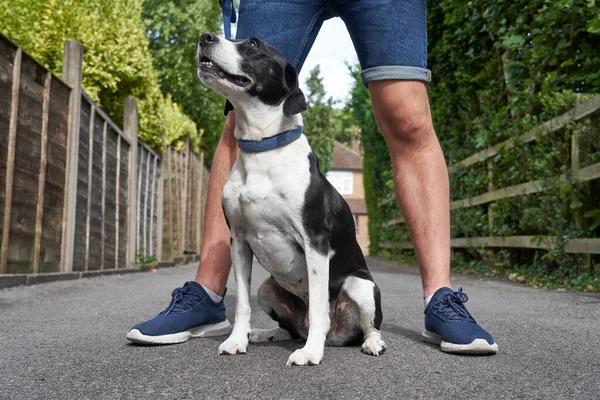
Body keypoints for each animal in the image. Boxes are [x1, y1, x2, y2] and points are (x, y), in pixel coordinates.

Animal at [197, 32, 384, 368]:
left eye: (253, 45)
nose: (205, 37)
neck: (262, 149)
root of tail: (338, 337)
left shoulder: (314, 241)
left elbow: (319, 306)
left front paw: (310, 353)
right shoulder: (238, 242)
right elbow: (241, 304)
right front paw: (236, 341)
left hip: (360, 284)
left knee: (367, 326)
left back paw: (369, 342)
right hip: (266, 288)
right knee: (291, 329)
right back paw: (263, 334)